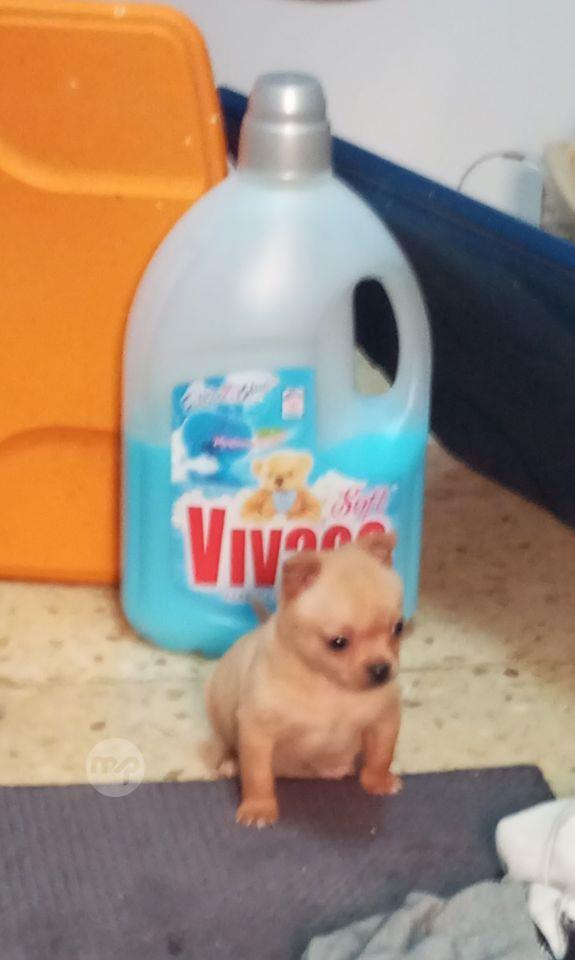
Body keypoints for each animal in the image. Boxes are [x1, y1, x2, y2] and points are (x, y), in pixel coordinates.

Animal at [205, 531, 404, 827]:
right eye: (338, 642)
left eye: (398, 628)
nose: (381, 669)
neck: (330, 687)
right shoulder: (257, 732)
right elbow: (257, 776)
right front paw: (259, 808)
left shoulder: (384, 720)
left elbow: (381, 755)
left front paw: (378, 782)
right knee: (228, 744)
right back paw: (230, 762)